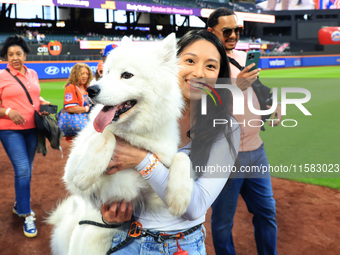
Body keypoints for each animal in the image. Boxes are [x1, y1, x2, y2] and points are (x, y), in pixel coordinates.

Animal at [49, 34, 195, 255]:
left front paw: (179, 198)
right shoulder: (71, 171)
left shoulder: (152, 188)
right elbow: (106, 135)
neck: (134, 133)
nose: (91, 89)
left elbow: (182, 156)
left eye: (127, 75)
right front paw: (85, 174)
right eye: (106, 73)